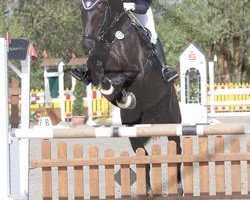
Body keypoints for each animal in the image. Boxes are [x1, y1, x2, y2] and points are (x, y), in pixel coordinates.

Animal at [74, 0, 182, 194]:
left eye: (100, 10)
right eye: (81, 10)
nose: (87, 45)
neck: (112, 37)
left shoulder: (139, 73)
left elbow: (118, 80)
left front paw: (119, 92)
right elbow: (99, 76)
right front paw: (120, 95)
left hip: (173, 123)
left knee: (177, 150)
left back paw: (179, 187)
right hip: (134, 132)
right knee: (143, 156)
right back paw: (147, 190)